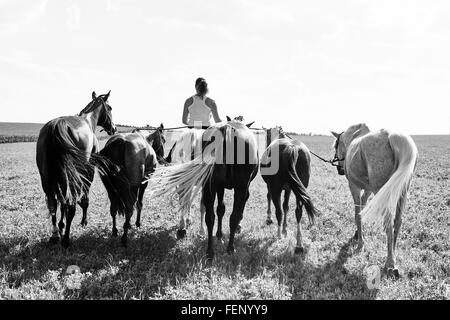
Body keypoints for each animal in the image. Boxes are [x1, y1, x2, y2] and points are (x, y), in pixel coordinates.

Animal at [36, 90, 117, 248]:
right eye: (110, 108)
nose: (114, 128)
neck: (88, 121)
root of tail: (56, 126)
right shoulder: (88, 170)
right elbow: (84, 198)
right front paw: (83, 221)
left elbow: (61, 202)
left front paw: (61, 225)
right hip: (72, 176)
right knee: (71, 205)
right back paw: (66, 239)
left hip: (48, 179)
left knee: (53, 204)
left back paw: (55, 235)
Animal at [260, 126, 320, 254]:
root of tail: (292, 147)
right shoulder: (289, 189)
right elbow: (286, 206)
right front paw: (285, 229)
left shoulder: (271, 186)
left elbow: (270, 198)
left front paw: (269, 219)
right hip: (300, 190)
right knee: (298, 212)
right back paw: (299, 244)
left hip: (276, 189)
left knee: (279, 211)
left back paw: (278, 235)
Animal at [330, 122, 418, 278]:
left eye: (336, 145)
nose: (340, 170)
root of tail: (391, 135)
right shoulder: (369, 189)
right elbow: (362, 207)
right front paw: (358, 234)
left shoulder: (354, 187)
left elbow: (358, 213)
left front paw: (360, 244)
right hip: (402, 191)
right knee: (398, 221)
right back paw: (393, 254)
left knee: (388, 223)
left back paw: (390, 264)